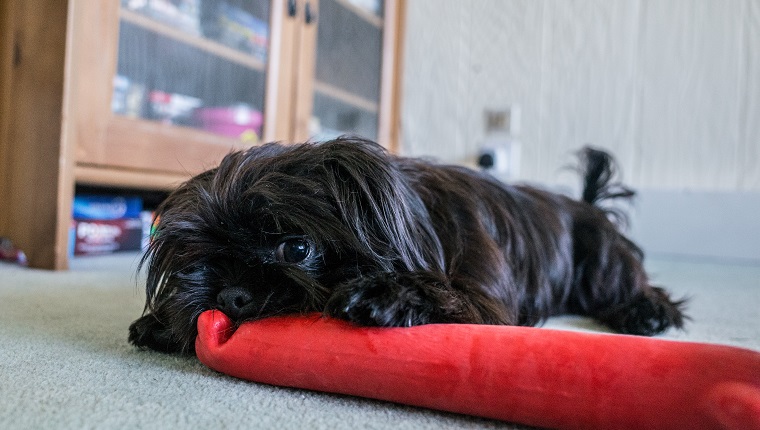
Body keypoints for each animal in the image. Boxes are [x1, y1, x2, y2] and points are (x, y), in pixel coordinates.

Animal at [129, 137, 688, 352]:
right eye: (206, 259)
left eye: (298, 249)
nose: (231, 295)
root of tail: (587, 206)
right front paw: (159, 322)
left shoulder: (484, 302)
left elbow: (440, 292)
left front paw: (387, 293)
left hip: (602, 261)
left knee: (635, 286)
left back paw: (645, 313)